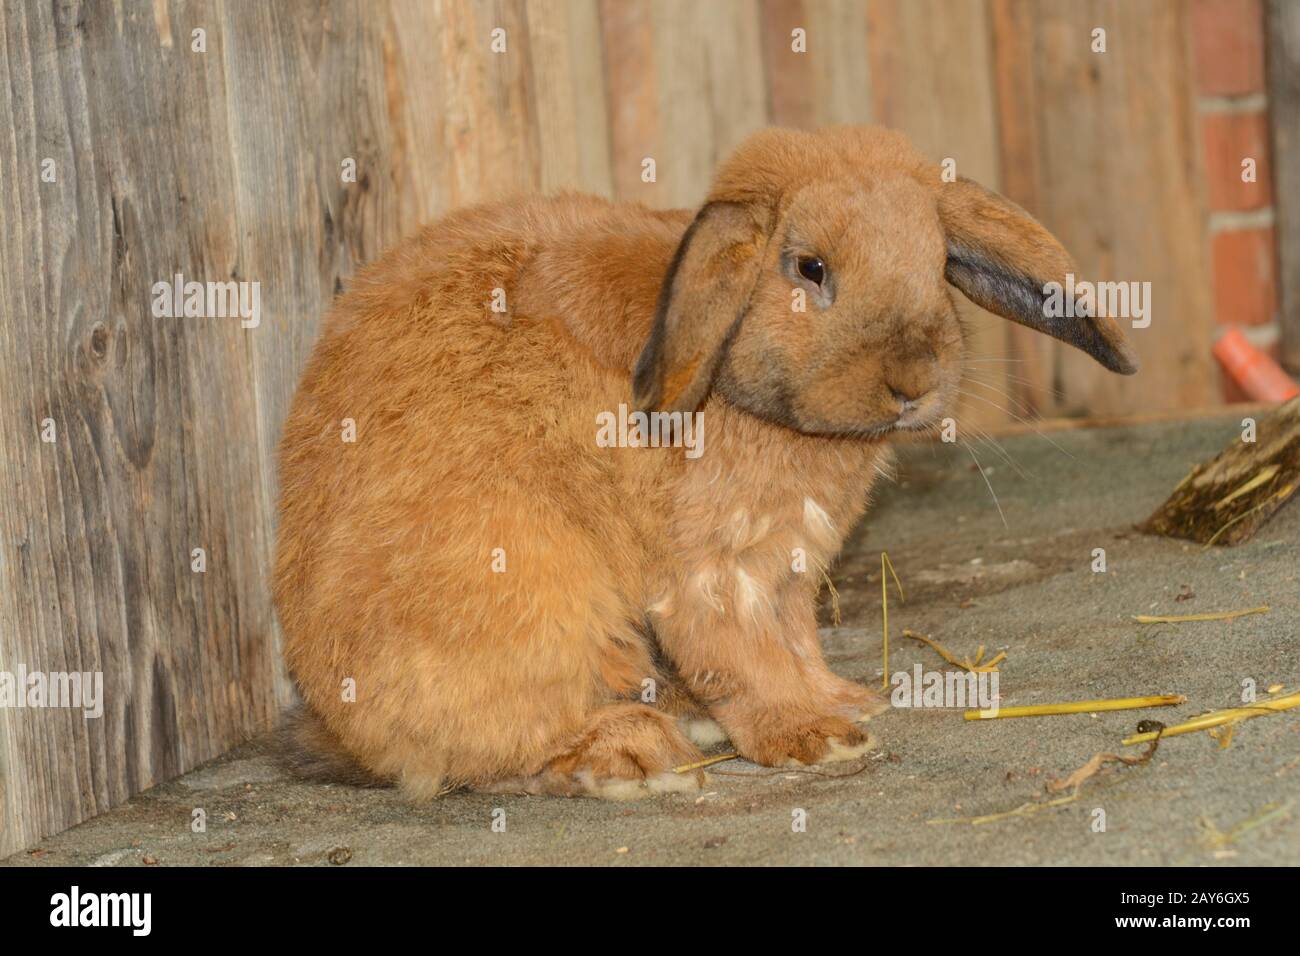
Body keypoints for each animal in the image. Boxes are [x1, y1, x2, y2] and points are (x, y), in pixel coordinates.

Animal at [273, 125, 1137, 800]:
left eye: (935, 265)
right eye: (810, 268)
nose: (913, 384)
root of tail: (332, 710)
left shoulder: (789, 570)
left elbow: (795, 642)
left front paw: (845, 703)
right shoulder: (711, 572)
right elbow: (741, 656)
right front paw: (816, 738)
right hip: (534, 592)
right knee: (500, 747)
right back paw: (632, 755)